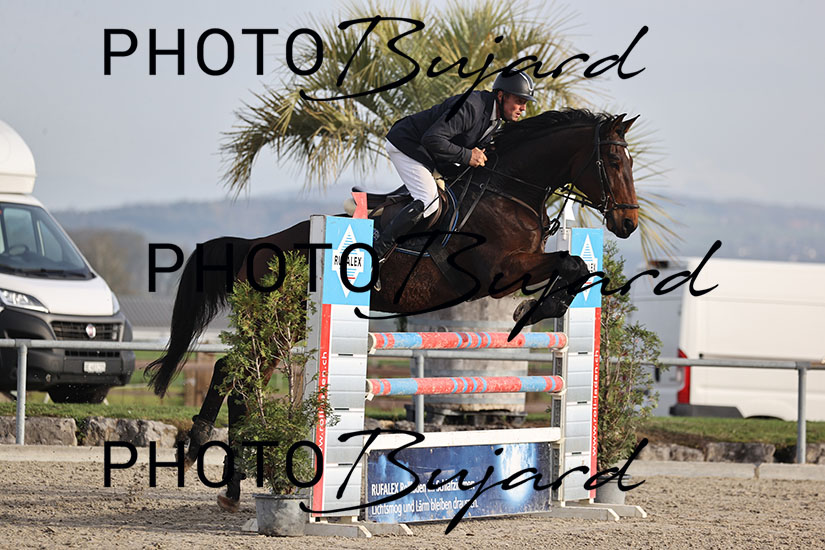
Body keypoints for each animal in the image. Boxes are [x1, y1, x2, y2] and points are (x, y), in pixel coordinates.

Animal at [145, 109, 639, 511]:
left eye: (631, 163)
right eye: (615, 163)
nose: (628, 223)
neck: (509, 192)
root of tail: (259, 245)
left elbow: (575, 266)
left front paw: (542, 306)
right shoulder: (501, 270)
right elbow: (571, 263)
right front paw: (531, 310)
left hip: (283, 328)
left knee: (243, 380)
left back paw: (234, 485)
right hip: (277, 322)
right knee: (233, 373)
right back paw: (205, 449)